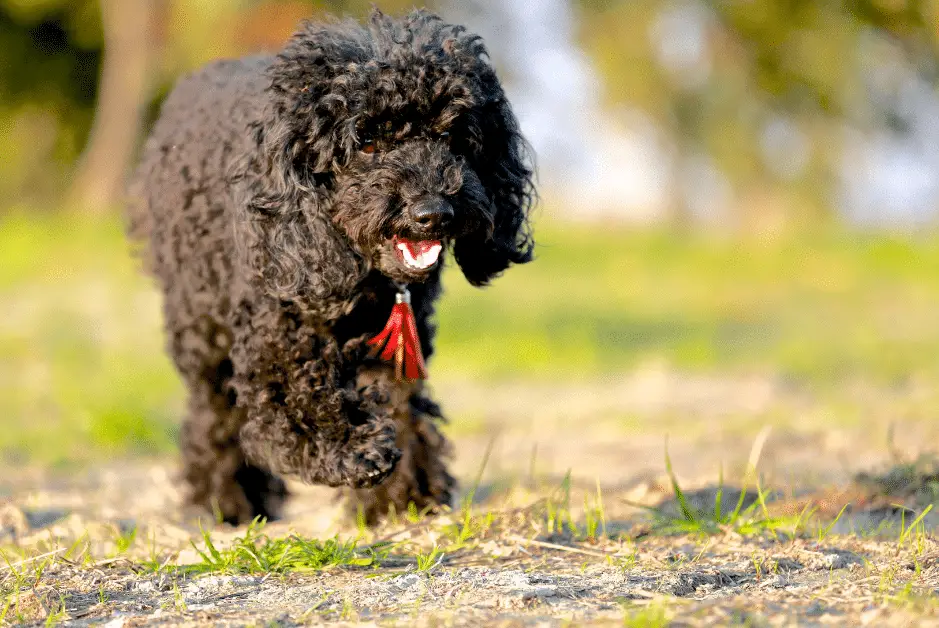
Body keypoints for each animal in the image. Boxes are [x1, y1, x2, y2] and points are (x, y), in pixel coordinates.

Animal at [126, 8, 536, 524]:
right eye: (367, 142)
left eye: (450, 135)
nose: (433, 212)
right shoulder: (276, 329)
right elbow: (294, 403)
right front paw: (357, 453)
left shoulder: (394, 341)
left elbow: (401, 405)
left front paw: (403, 500)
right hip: (200, 324)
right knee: (215, 411)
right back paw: (225, 502)